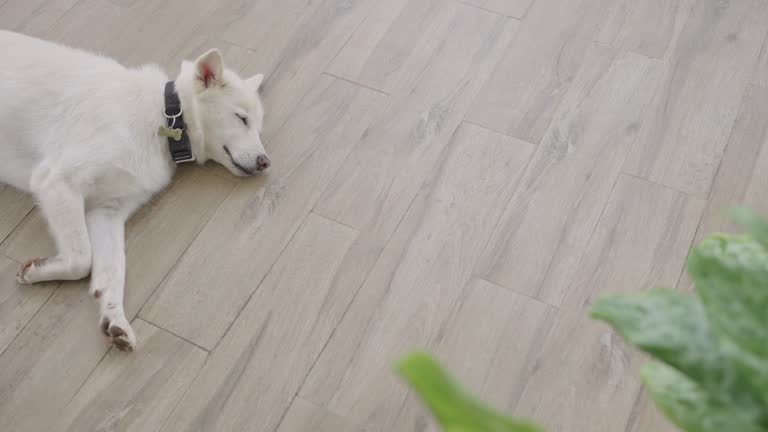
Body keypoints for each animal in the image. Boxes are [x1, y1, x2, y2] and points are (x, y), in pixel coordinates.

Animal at [0, 32, 270, 352]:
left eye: (258, 126)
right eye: (241, 118)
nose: (265, 162)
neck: (162, 119)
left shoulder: (106, 212)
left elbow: (112, 271)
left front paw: (114, 318)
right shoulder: (55, 180)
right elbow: (81, 259)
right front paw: (37, 270)